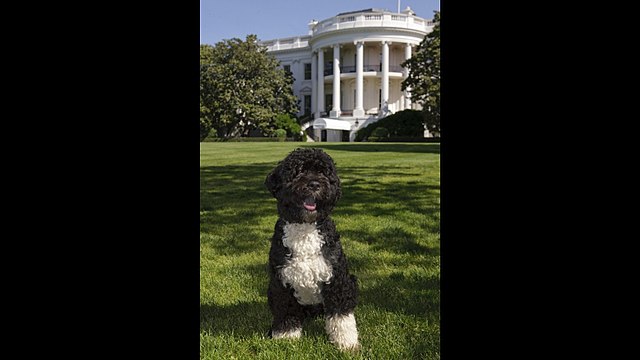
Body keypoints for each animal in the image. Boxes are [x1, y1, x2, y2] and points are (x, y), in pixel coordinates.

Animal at [264, 148, 360, 350]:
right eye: (298, 171)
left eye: (324, 172)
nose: (314, 184)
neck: (305, 229)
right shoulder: (281, 283)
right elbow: (286, 312)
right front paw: (285, 336)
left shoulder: (337, 280)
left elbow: (341, 316)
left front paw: (346, 342)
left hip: (352, 281)